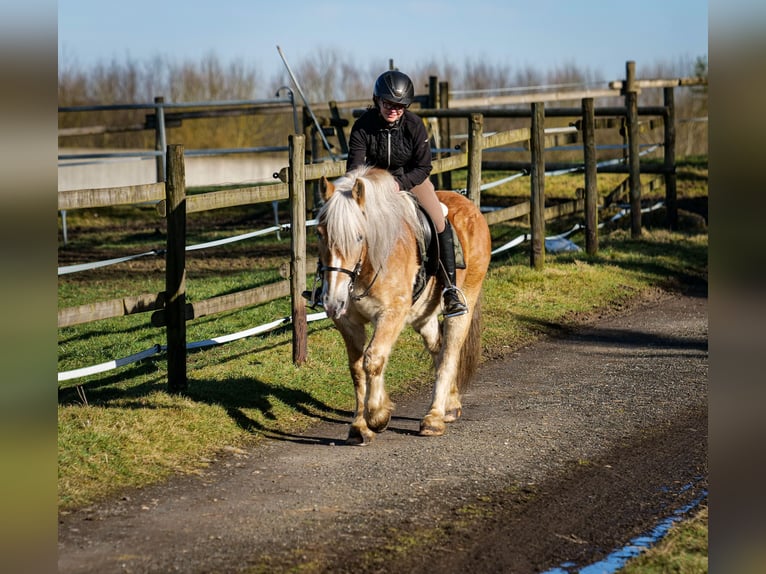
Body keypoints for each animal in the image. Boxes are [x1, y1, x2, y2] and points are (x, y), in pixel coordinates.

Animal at [316, 166, 492, 446]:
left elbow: (373, 359)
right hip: (423, 315)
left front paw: (377, 416)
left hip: (464, 303)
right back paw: (450, 404)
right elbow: (357, 368)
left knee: (450, 353)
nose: (332, 301)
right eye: (319, 234)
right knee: (438, 348)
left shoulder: (392, 314)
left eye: (358, 236)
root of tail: (470, 206)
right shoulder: (348, 321)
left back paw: (434, 418)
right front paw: (359, 426)